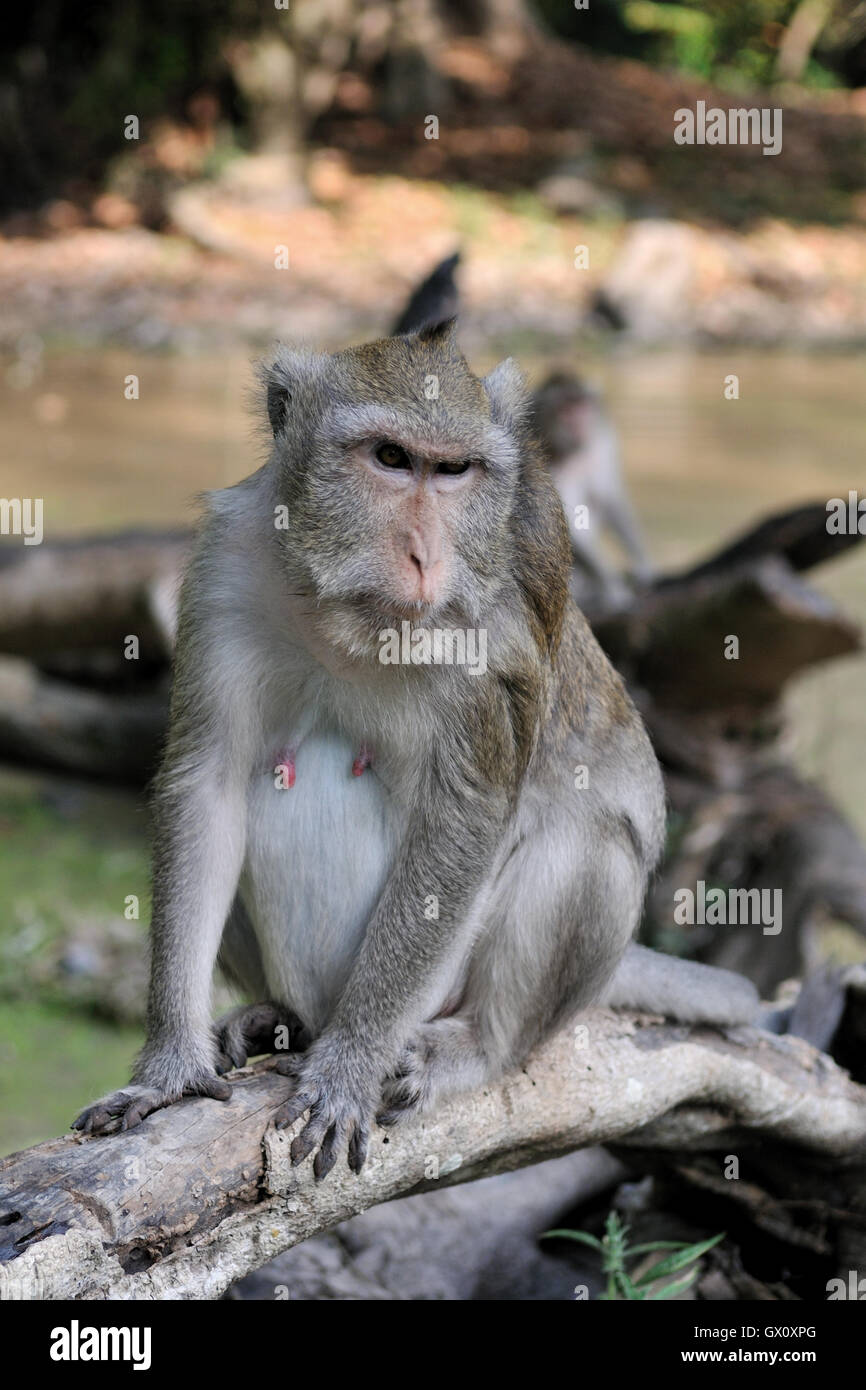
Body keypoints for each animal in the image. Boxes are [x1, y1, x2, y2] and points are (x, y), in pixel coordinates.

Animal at [528, 369, 656, 608]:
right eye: (565, 409)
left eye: (582, 405)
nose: (579, 424)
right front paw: (613, 587)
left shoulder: (602, 441)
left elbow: (610, 498)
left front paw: (646, 567)